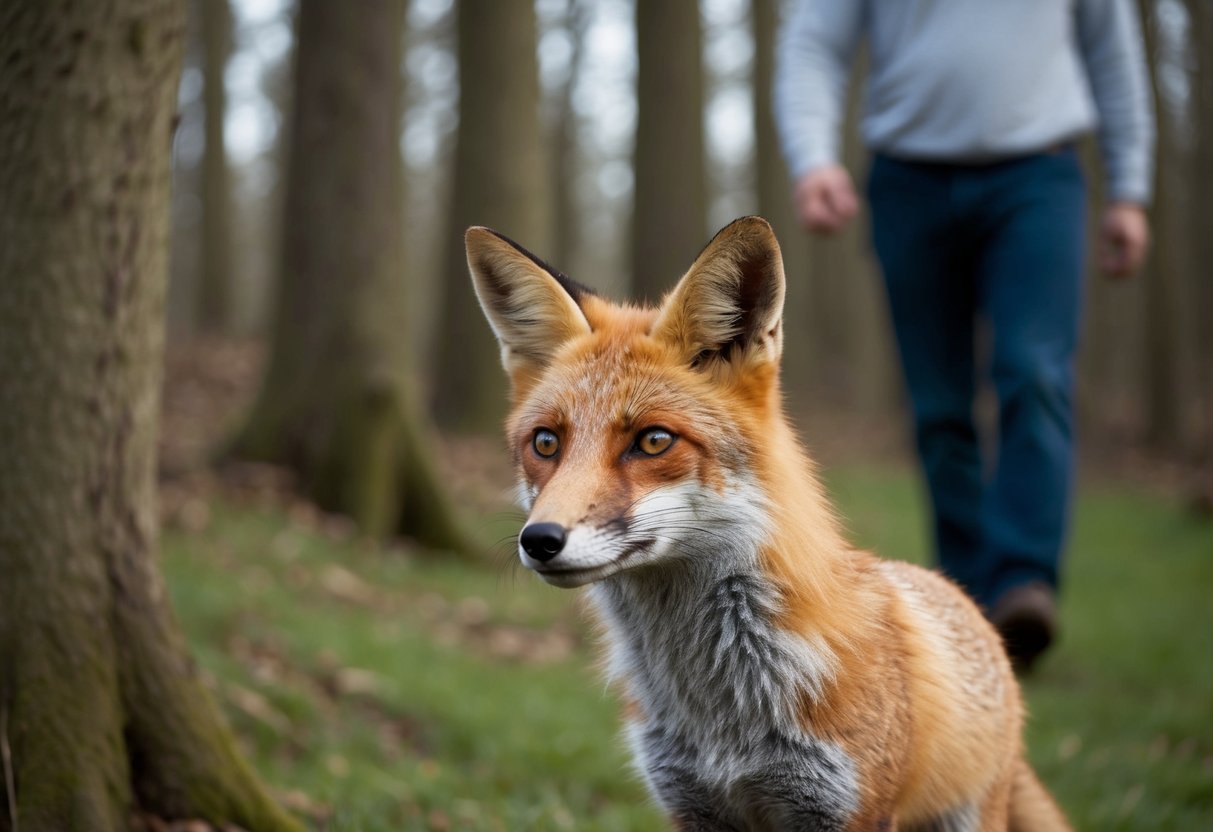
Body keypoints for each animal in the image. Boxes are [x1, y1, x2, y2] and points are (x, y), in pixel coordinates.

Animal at [467, 216, 1070, 831]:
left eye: (654, 441)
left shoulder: (843, 808)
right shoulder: (695, 804)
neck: (721, 718)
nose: (540, 540)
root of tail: (972, 609)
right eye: (546, 443)